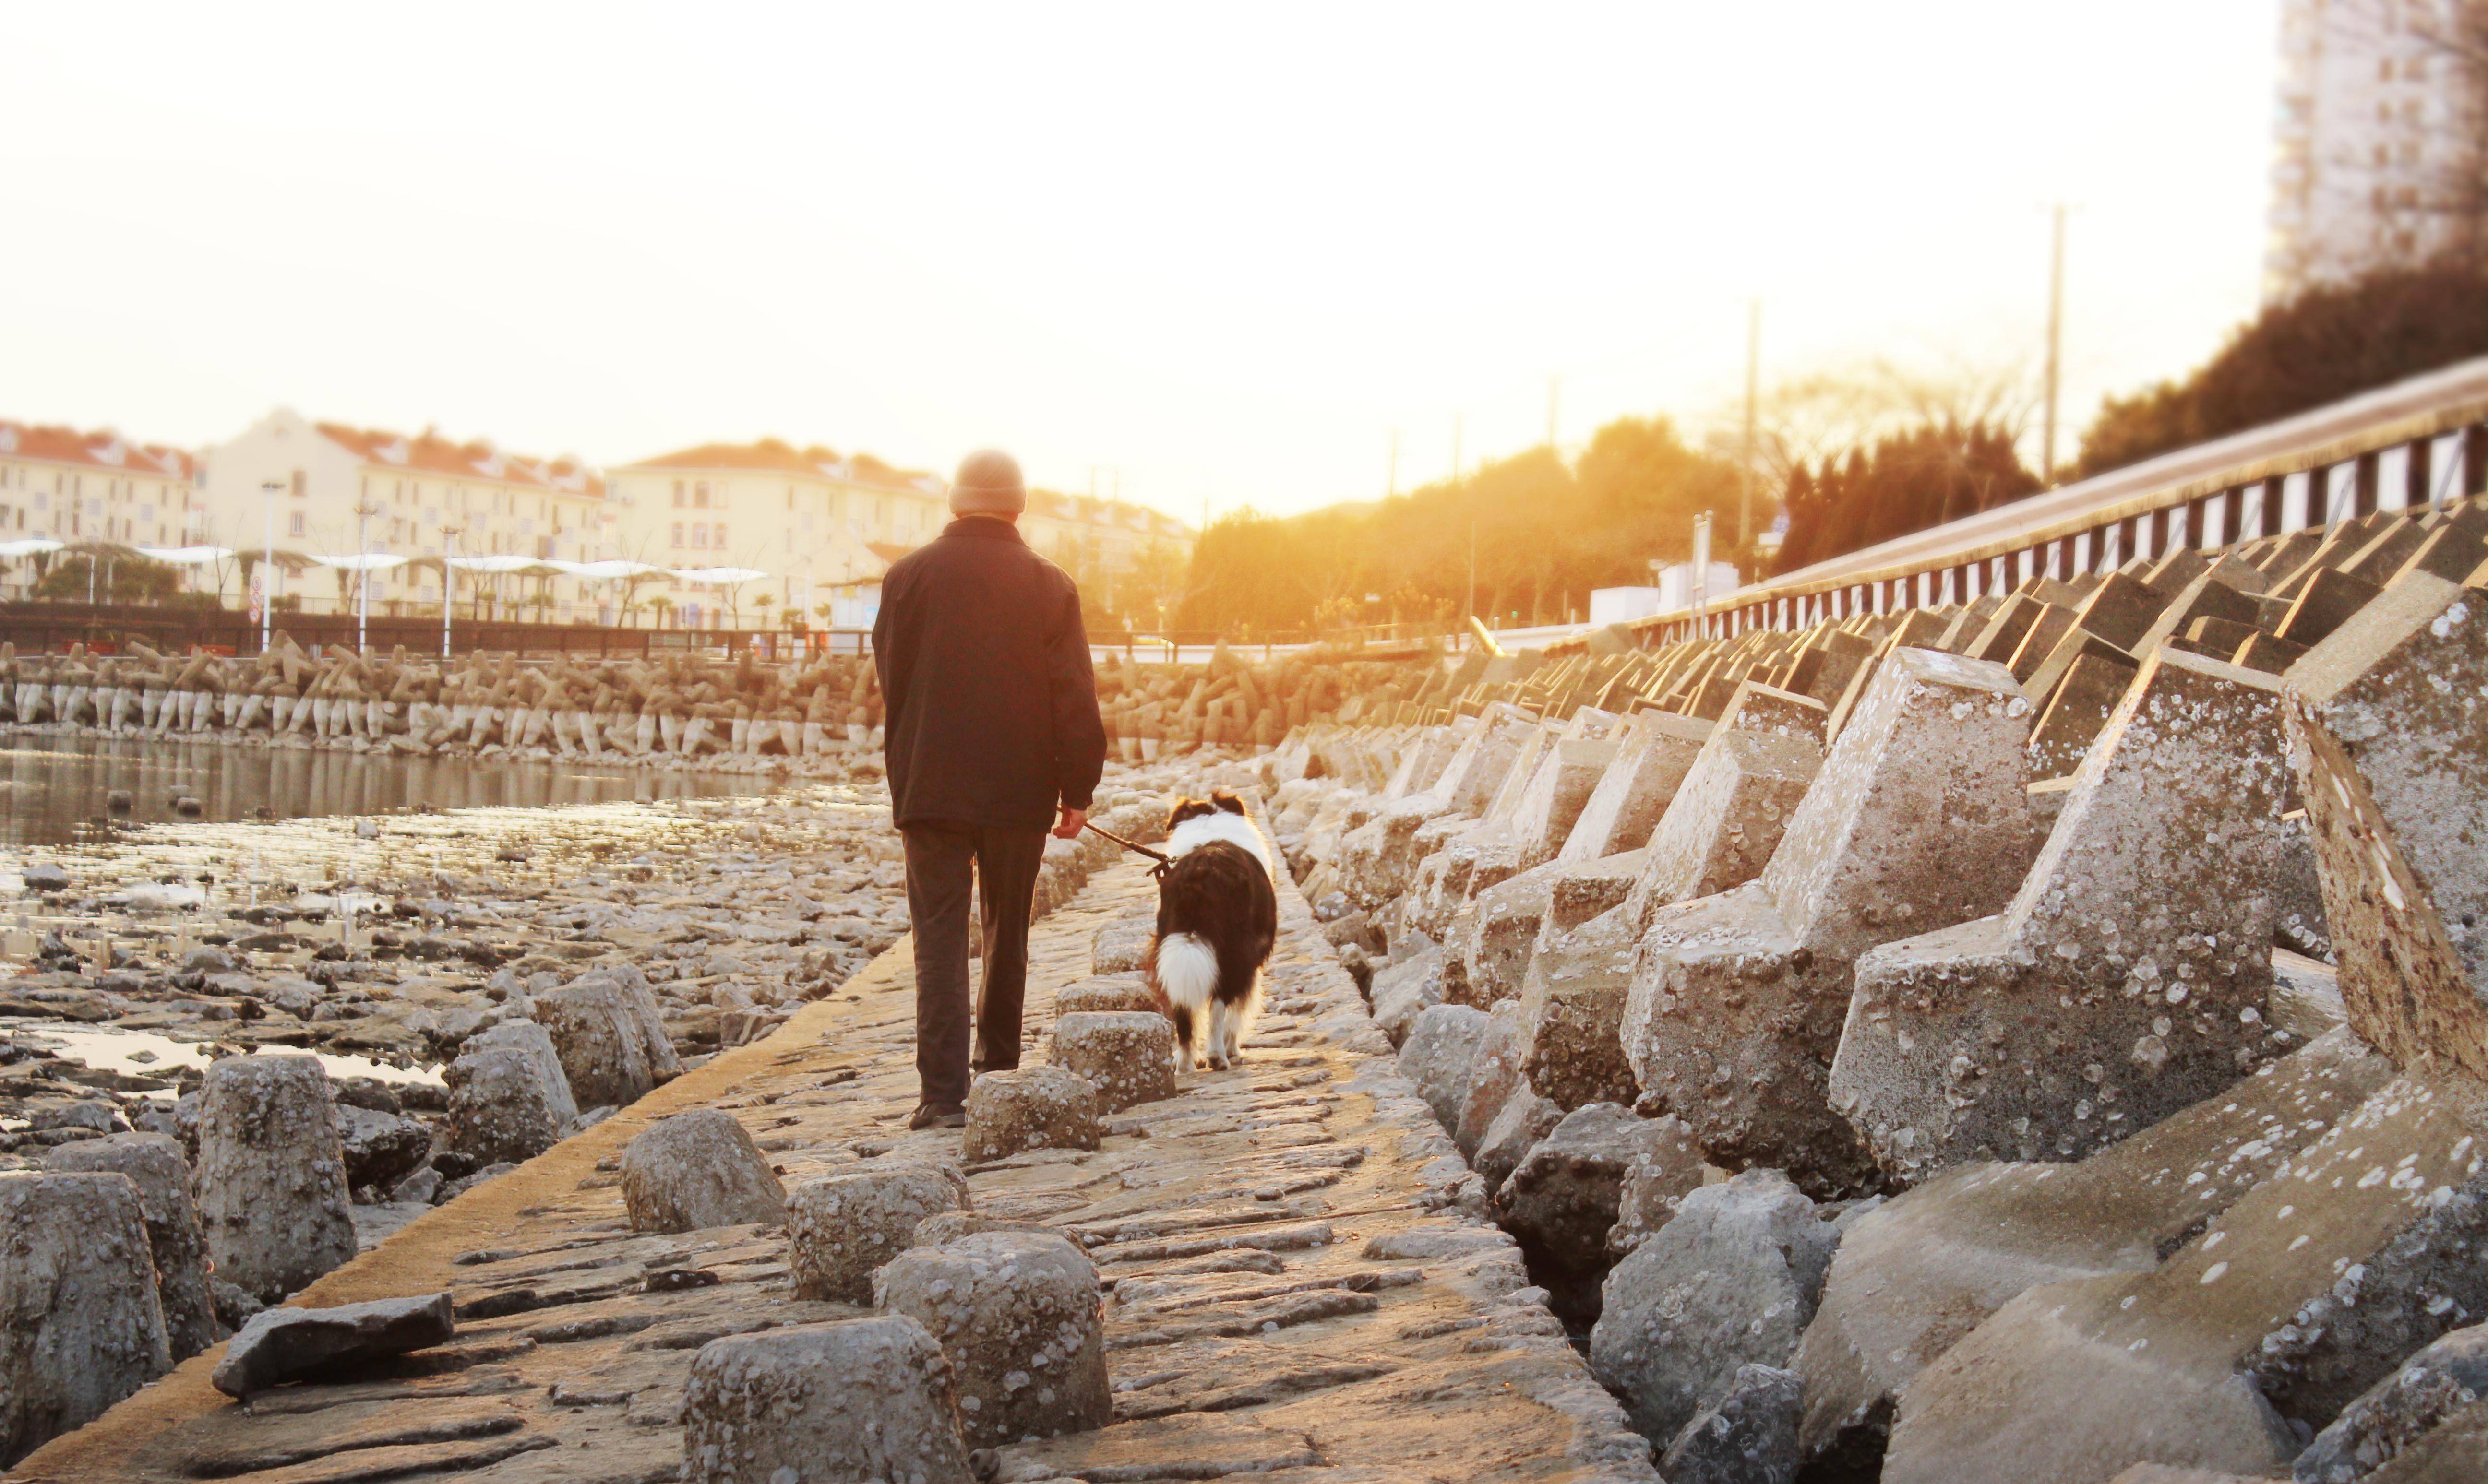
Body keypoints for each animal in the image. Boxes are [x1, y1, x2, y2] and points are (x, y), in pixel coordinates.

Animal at [1139, 790, 1274, 1068]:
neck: (1211, 824)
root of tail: (1197, 879)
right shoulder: (1253, 959)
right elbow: (1238, 1010)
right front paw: (1234, 1050)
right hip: (1234, 950)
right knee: (1220, 1003)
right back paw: (1218, 1056)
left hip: (1169, 946)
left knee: (1181, 1010)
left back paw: (1185, 1064)